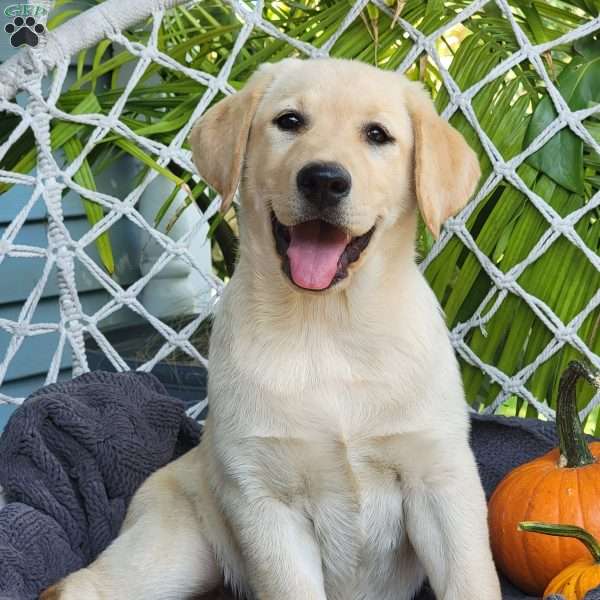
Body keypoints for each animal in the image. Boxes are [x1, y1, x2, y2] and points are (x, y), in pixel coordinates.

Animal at [43, 57, 502, 600]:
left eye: (377, 134)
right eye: (289, 122)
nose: (324, 180)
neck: (329, 326)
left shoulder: (441, 483)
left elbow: (471, 580)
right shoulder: (265, 501)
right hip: (173, 551)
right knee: (76, 585)